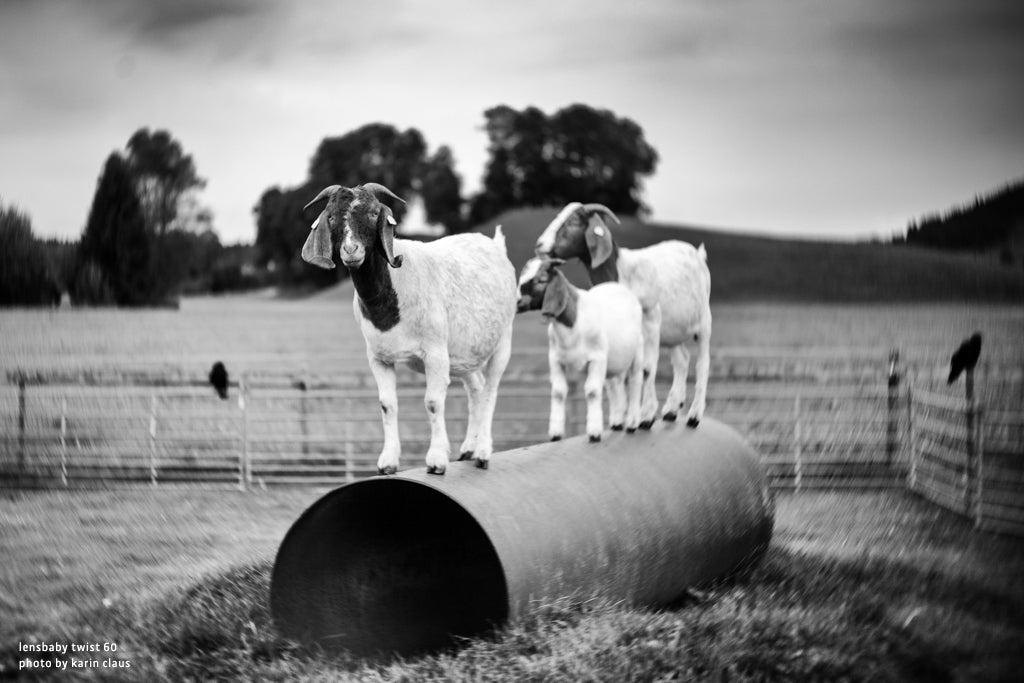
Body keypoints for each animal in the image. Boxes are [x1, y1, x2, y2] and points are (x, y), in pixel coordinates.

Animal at [302, 183, 517, 475]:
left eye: (374, 213)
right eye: (332, 216)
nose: (351, 250)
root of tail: (495, 246)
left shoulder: (435, 354)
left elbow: (433, 403)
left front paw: (436, 460)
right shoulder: (379, 358)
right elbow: (387, 405)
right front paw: (388, 461)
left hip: (502, 341)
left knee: (491, 391)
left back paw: (483, 452)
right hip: (463, 354)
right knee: (477, 389)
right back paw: (468, 449)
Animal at [517, 256, 644, 442]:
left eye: (541, 280)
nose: (517, 303)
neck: (572, 324)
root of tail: (617, 286)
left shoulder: (597, 359)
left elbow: (592, 391)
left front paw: (594, 432)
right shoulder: (555, 360)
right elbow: (558, 392)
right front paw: (555, 433)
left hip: (637, 353)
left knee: (635, 383)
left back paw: (632, 423)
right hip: (614, 362)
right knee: (615, 387)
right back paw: (616, 422)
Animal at [536, 202, 712, 427]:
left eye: (574, 221)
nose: (540, 245)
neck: (622, 273)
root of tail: (697, 252)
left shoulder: (650, 322)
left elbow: (646, 368)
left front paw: (645, 416)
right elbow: (616, 376)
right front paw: (620, 419)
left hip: (704, 321)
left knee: (702, 363)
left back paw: (694, 415)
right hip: (673, 332)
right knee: (682, 360)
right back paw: (671, 410)